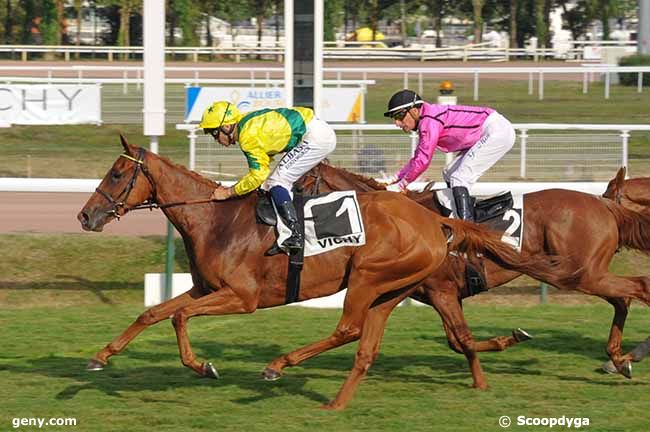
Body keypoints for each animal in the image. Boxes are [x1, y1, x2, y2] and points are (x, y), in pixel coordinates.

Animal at [76, 138, 560, 408]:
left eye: (116, 173)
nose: (85, 216)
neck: (215, 221)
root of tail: (435, 222)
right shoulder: (203, 289)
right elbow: (152, 313)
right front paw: (100, 357)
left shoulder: (242, 297)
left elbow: (177, 317)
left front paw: (203, 366)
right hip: (391, 287)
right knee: (366, 338)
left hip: (367, 276)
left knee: (349, 328)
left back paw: (278, 366)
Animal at [278, 161, 650, 378]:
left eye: (302, 183)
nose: (285, 214)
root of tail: (606, 206)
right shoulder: (438, 294)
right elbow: (458, 341)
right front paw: (506, 341)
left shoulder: (441, 290)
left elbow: (462, 339)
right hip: (587, 273)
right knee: (623, 299)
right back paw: (619, 359)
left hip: (580, 273)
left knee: (638, 288)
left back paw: (624, 357)